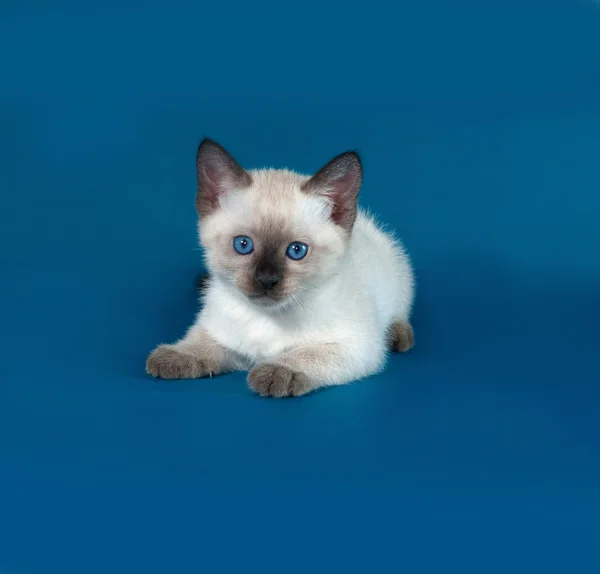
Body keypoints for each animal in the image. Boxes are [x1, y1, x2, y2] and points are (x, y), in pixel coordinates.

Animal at [148, 140, 414, 400]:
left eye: (297, 250)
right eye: (243, 245)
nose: (266, 280)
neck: (267, 318)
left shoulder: (356, 347)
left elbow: (307, 355)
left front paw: (277, 372)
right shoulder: (223, 335)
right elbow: (201, 343)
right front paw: (173, 357)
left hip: (397, 271)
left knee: (400, 311)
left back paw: (397, 335)